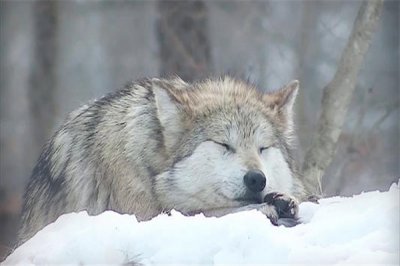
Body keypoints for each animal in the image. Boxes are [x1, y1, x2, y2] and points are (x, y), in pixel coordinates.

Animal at [18, 76, 306, 244]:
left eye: (263, 148)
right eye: (224, 144)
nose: (257, 179)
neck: (151, 166)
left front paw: (281, 200)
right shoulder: (143, 216)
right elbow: (206, 212)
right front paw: (268, 208)